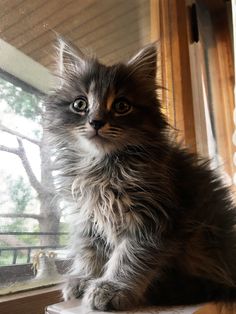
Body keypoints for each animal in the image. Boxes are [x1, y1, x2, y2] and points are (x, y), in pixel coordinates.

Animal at [44, 39, 236, 312]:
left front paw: (111, 288)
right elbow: (89, 250)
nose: (96, 121)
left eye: (122, 106)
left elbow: (130, 257)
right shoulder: (88, 217)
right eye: (80, 104)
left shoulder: (152, 220)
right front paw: (84, 277)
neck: (102, 168)